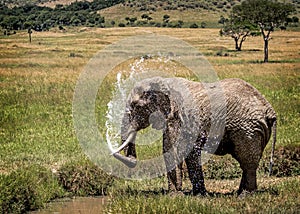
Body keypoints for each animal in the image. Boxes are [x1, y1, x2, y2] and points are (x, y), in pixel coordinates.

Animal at [112, 77, 276, 196]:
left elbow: (172, 149)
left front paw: (175, 196)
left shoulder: (177, 118)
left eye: (136, 106)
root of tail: (270, 110)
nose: (132, 159)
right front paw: (199, 195)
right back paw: (241, 192)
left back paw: (245, 195)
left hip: (247, 129)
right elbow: (190, 153)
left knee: (247, 162)